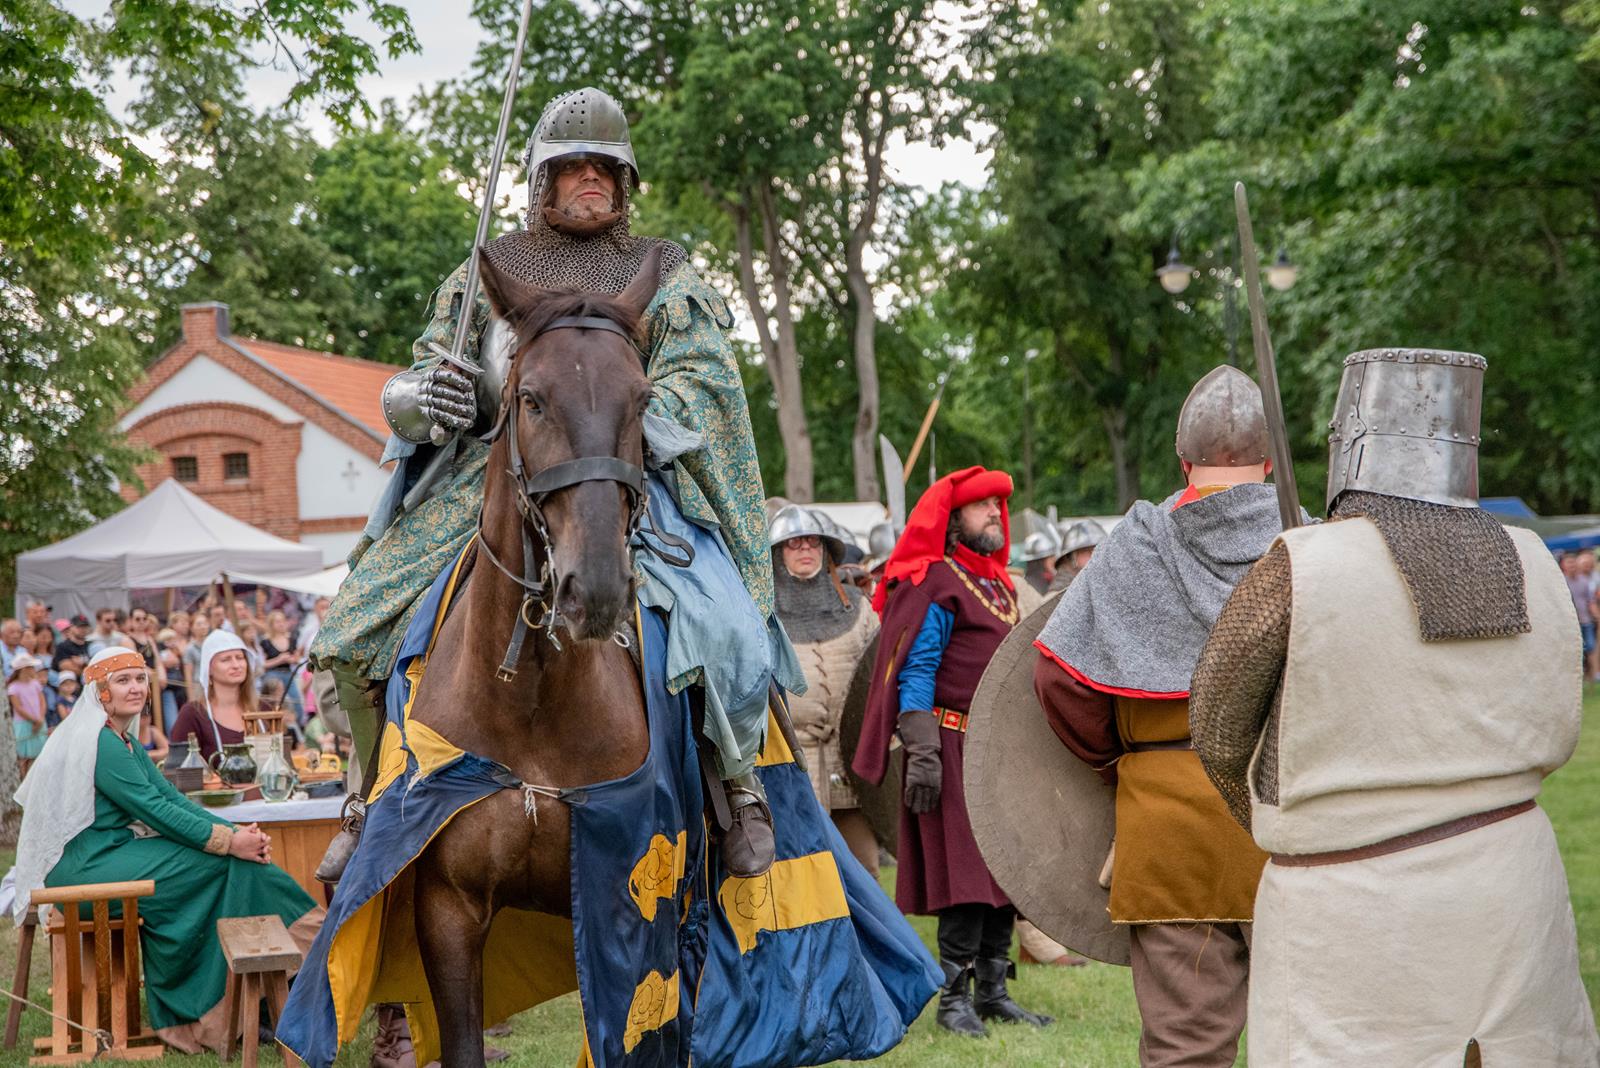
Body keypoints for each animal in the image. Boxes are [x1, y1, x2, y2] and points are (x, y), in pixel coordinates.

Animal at [406, 246, 664, 1068]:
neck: (531, 700)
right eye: (532, 400)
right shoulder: (447, 911)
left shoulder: (623, 901)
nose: (597, 589)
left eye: (643, 400)